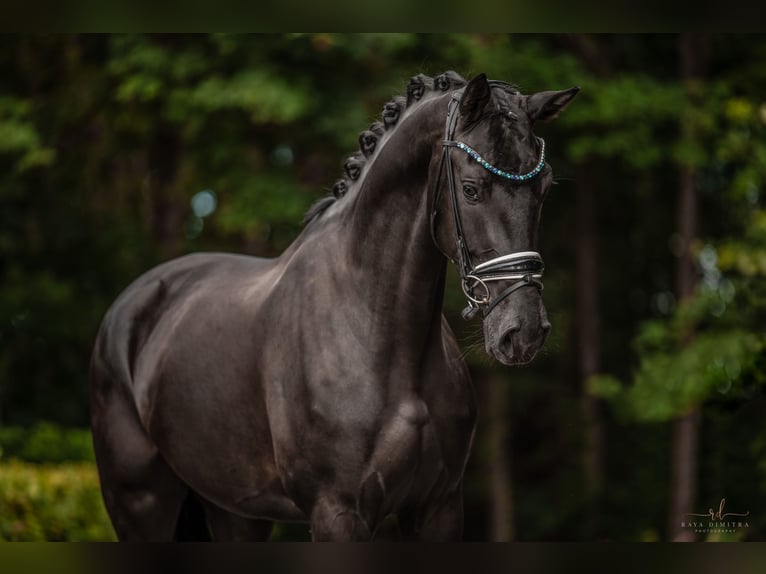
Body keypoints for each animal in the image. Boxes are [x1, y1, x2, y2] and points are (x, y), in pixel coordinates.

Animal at [90, 70, 580, 544]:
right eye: (472, 188)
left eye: (543, 187)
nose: (523, 331)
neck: (372, 329)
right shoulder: (337, 512)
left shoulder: (439, 508)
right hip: (141, 504)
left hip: (236, 510)